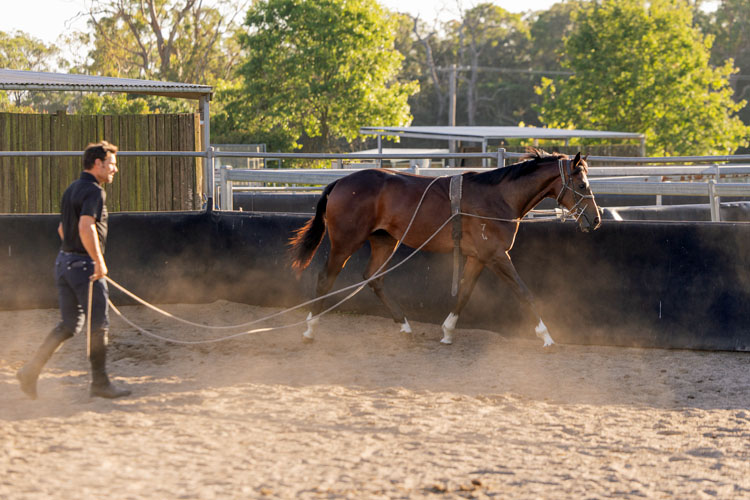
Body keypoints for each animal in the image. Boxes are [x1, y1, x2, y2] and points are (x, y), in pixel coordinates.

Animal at [289, 149, 601, 347]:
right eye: (582, 185)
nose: (596, 219)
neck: (498, 197)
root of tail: (340, 182)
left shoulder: (478, 257)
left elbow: (464, 292)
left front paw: (448, 332)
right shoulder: (497, 255)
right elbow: (524, 292)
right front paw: (547, 336)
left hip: (384, 240)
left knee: (374, 278)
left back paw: (405, 327)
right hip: (345, 242)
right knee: (325, 279)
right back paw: (309, 331)